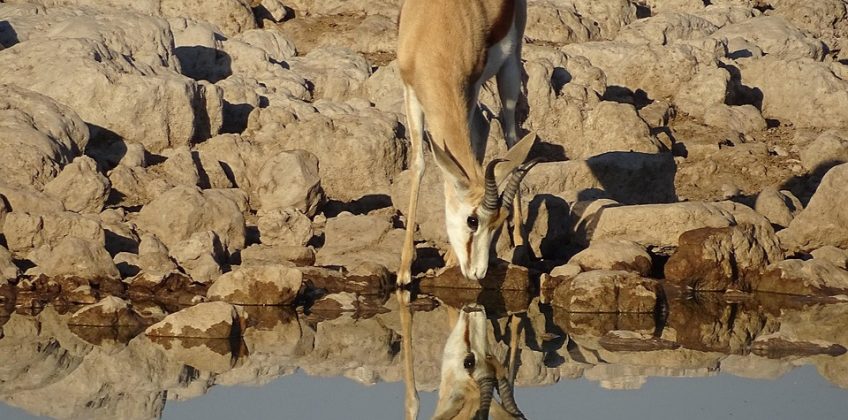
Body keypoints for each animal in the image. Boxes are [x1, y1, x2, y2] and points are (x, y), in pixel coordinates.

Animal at [396, 0, 536, 285]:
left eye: (498, 221)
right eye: (472, 221)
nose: (477, 272)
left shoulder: (469, 88)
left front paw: (450, 257)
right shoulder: (410, 90)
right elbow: (419, 164)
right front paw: (404, 270)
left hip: (510, 68)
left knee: (510, 135)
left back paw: (519, 239)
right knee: (488, 129)